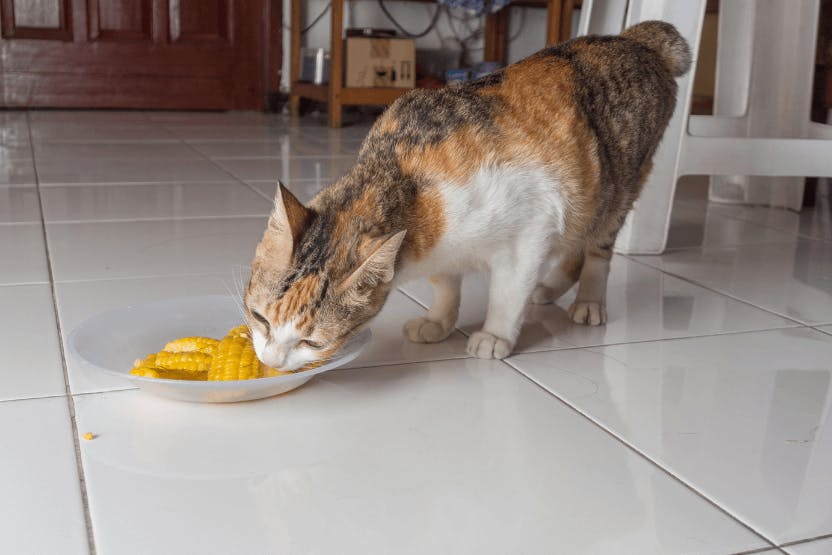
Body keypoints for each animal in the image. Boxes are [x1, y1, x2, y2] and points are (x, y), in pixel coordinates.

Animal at [244, 21, 692, 372]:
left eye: (312, 342)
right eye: (259, 317)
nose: (271, 362)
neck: (402, 175)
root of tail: (638, 40)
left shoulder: (533, 227)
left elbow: (508, 291)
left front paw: (495, 335)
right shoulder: (441, 248)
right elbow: (446, 284)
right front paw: (439, 322)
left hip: (618, 186)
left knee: (597, 248)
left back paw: (587, 301)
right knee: (575, 245)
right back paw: (549, 290)